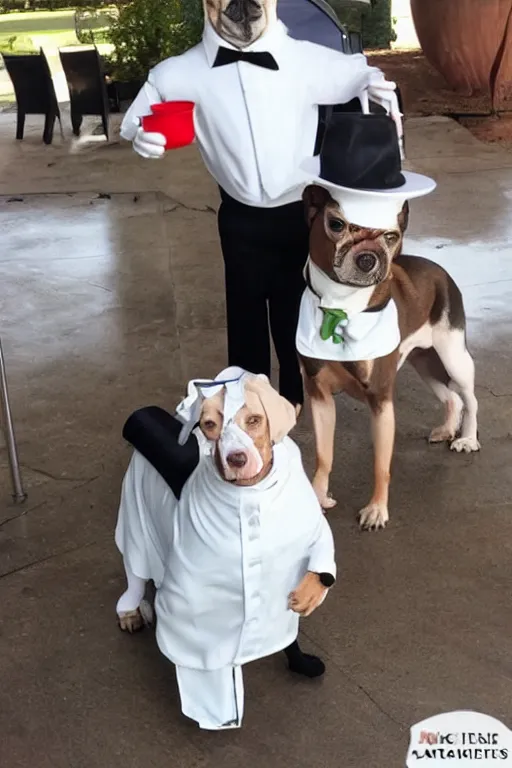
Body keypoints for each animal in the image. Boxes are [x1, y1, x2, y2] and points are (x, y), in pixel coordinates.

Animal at [115, 368, 336, 728]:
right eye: (209, 424)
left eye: (255, 419)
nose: (237, 459)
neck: (250, 494)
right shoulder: (193, 601)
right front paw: (215, 710)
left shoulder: (311, 535)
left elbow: (319, 562)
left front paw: (300, 651)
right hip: (134, 521)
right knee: (135, 571)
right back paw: (130, 610)